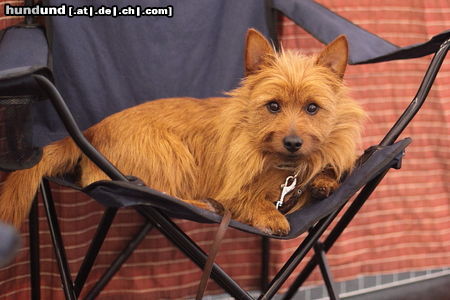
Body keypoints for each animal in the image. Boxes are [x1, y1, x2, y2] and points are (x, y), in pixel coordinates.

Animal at [0, 28, 366, 234]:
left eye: (312, 108)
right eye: (273, 106)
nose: (292, 142)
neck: (285, 167)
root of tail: (89, 132)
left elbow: (326, 169)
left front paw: (323, 180)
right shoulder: (231, 187)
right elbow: (245, 197)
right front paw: (269, 214)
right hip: (169, 152)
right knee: (157, 189)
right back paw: (202, 205)